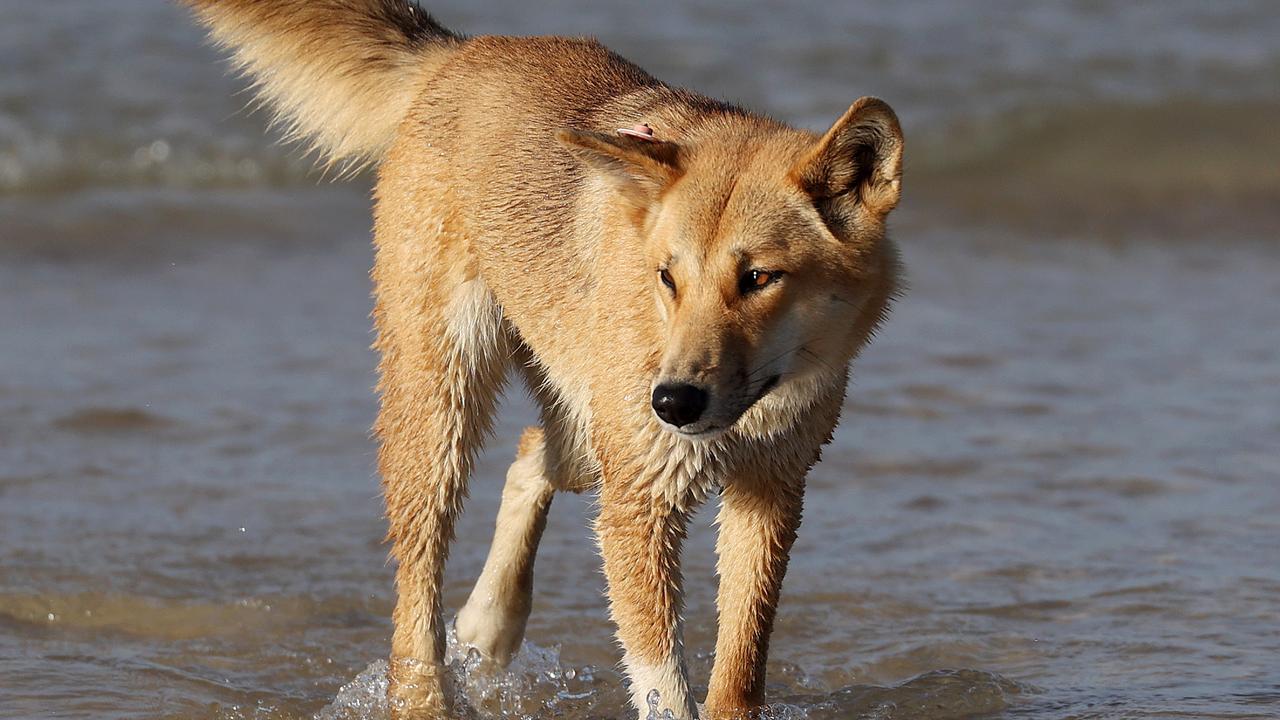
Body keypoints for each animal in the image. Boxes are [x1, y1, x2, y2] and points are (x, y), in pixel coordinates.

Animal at [185, 2, 906, 712]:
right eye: (668, 277)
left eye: (758, 278)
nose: (672, 402)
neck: (753, 411)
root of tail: (461, 52)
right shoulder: (639, 504)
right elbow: (664, 685)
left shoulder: (770, 494)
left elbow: (737, 674)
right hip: (447, 404)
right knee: (417, 589)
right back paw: (428, 690)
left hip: (586, 426)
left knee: (533, 454)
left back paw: (489, 624)